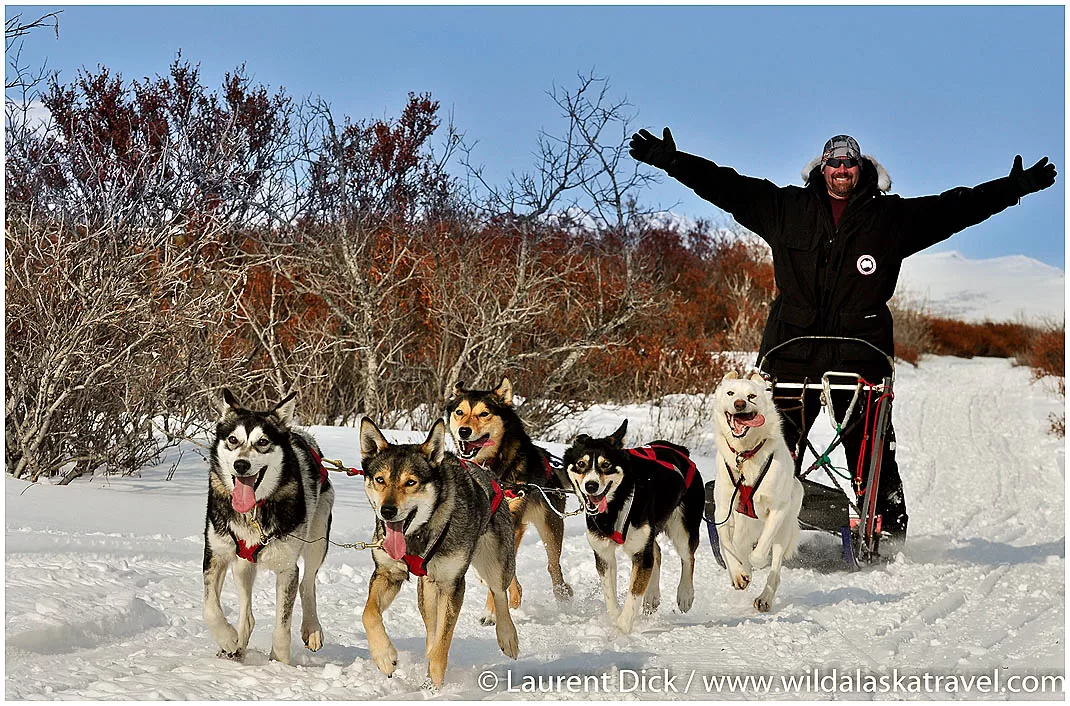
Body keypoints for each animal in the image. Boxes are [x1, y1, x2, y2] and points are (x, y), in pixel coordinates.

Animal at [710, 372, 804, 607]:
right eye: (731, 393)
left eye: (752, 396)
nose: (740, 404)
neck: (745, 455)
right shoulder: (722, 510)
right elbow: (726, 545)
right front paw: (737, 573)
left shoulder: (778, 510)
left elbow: (761, 551)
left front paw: (754, 563)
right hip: (740, 525)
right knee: (736, 544)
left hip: (784, 529)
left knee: (774, 568)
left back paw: (764, 598)